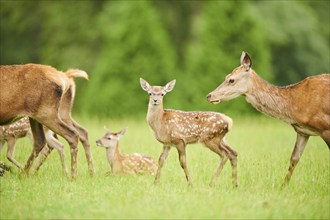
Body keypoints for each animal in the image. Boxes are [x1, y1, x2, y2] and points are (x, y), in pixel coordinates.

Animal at [206, 51, 330, 187]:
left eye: (231, 80)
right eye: (226, 76)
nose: (209, 95)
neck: (297, 105)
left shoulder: (325, 127)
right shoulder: (303, 131)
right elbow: (294, 158)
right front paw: (282, 187)